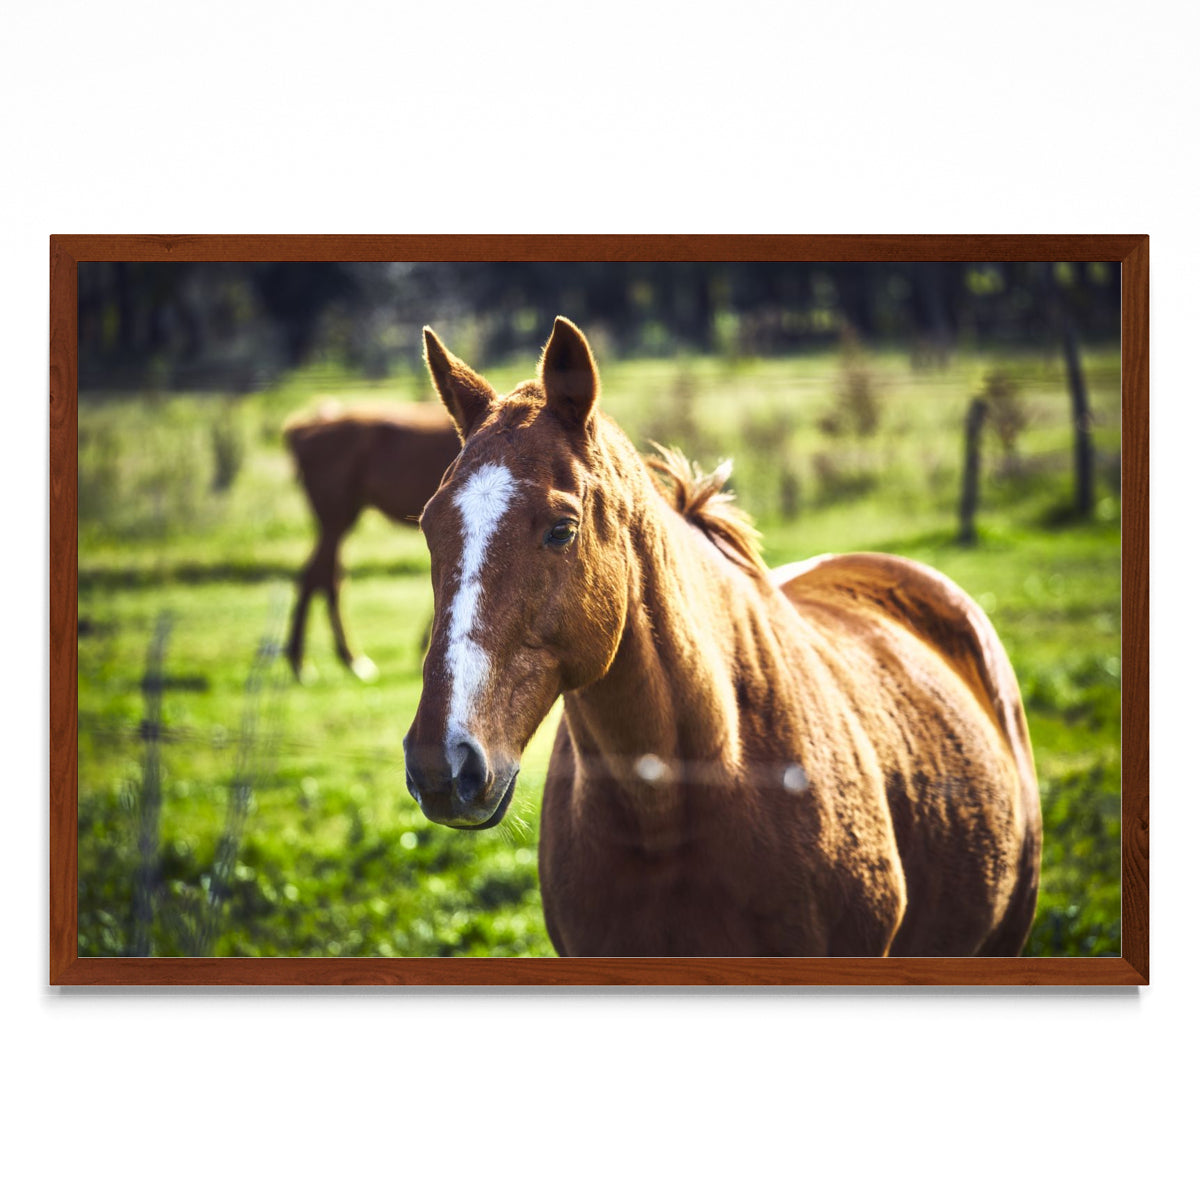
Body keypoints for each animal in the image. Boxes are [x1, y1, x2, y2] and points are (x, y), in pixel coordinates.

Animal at [283, 401, 460, 681]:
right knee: (317, 578)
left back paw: (339, 659)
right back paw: (314, 661)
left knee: (326, 578)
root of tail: (302, 429)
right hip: (335, 518)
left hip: (341, 519)